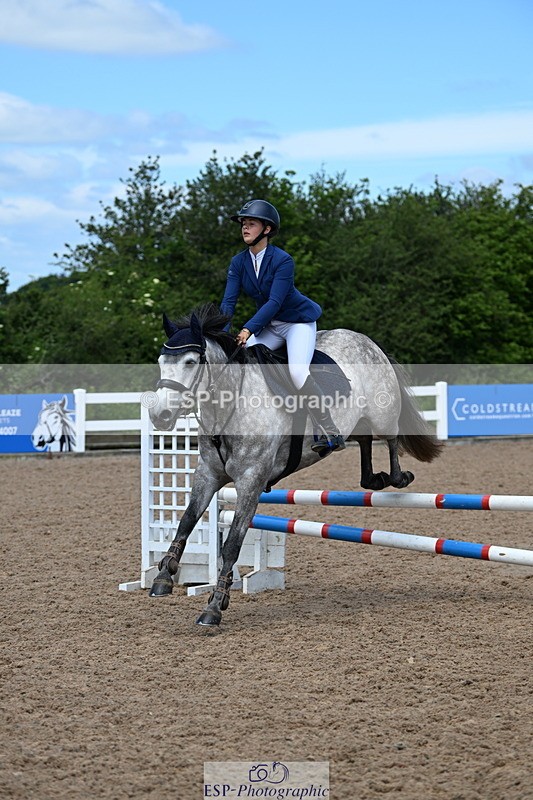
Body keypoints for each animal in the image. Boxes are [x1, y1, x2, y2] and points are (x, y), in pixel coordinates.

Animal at [147, 303, 442, 627]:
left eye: (190, 362)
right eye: (161, 361)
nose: (159, 416)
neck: (231, 402)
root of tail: (366, 340)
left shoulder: (251, 481)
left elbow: (232, 542)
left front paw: (214, 605)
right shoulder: (208, 474)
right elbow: (186, 522)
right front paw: (163, 576)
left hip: (382, 412)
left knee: (390, 438)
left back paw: (398, 477)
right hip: (356, 421)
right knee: (364, 441)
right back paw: (373, 479)